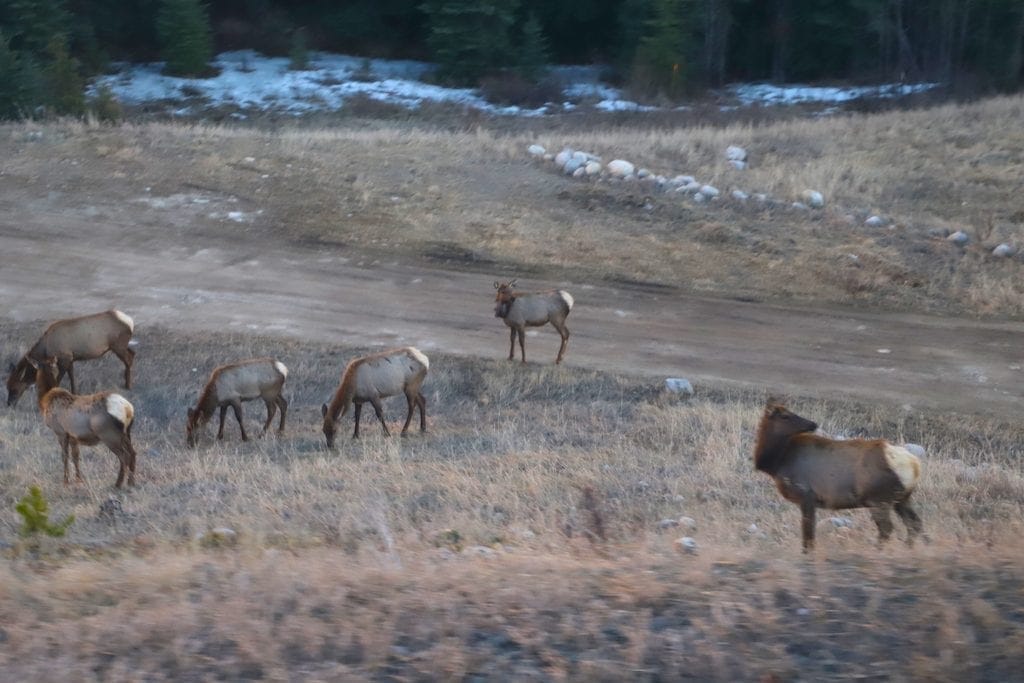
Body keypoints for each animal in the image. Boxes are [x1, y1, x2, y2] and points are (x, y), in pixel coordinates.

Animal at [6, 311, 136, 411]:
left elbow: (57, 380)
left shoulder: (64, 358)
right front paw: (75, 393)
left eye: (14, 388)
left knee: (129, 359)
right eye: (7, 386)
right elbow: (72, 376)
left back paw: (128, 385)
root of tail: (131, 321)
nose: (9, 404)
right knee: (133, 353)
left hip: (118, 345)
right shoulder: (70, 359)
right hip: (122, 346)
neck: (46, 350)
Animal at [32, 356, 137, 489]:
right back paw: (131, 482)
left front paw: (66, 481)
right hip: (127, 432)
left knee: (124, 456)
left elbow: (64, 456)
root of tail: (127, 408)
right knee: (133, 453)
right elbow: (76, 456)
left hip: (108, 434)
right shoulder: (73, 436)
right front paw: (79, 479)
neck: (45, 400)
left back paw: (118, 483)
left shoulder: (60, 431)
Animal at [749, 403, 925, 552]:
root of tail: (914, 465)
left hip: (879, 499)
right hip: (902, 498)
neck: (777, 463)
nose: (812, 424)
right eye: (785, 416)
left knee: (887, 528)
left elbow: (808, 536)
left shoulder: (806, 495)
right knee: (914, 524)